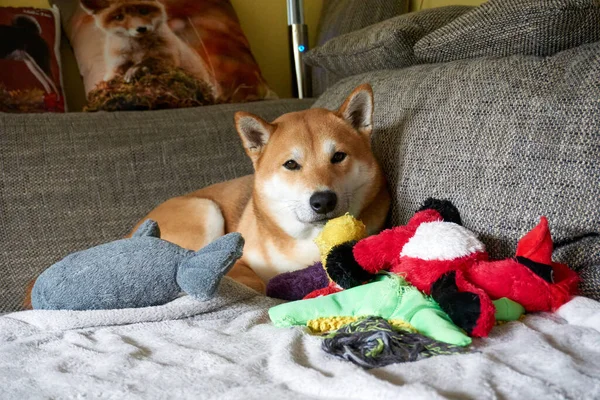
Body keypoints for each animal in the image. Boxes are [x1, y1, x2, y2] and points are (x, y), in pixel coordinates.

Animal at [80, 0, 213, 87]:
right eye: (119, 17)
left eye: (143, 10)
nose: (141, 29)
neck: (137, 50)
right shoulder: (117, 62)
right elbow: (111, 76)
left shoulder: (169, 58)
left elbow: (150, 61)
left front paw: (135, 70)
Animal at [134, 83, 392, 290]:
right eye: (291, 164)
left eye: (338, 156)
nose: (324, 201)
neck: (309, 240)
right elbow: (256, 281)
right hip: (205, 210)